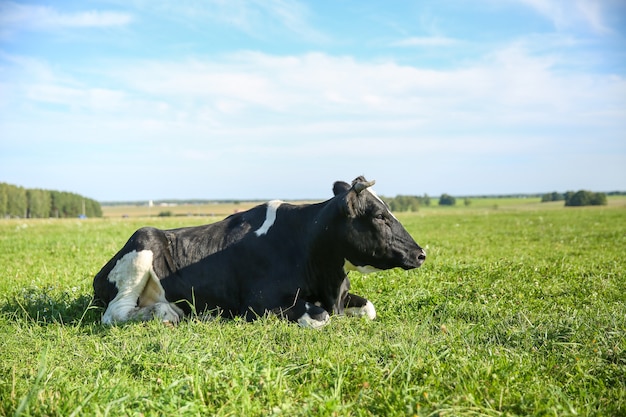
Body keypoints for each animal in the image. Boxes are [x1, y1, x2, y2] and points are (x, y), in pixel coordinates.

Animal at [92, 175, 424, 324]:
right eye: (379, 216)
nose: (421, 253)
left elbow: (369, 308)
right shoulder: (257, 304)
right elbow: (319, 316)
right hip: (142, 243)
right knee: (115, 314)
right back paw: (165, 311)